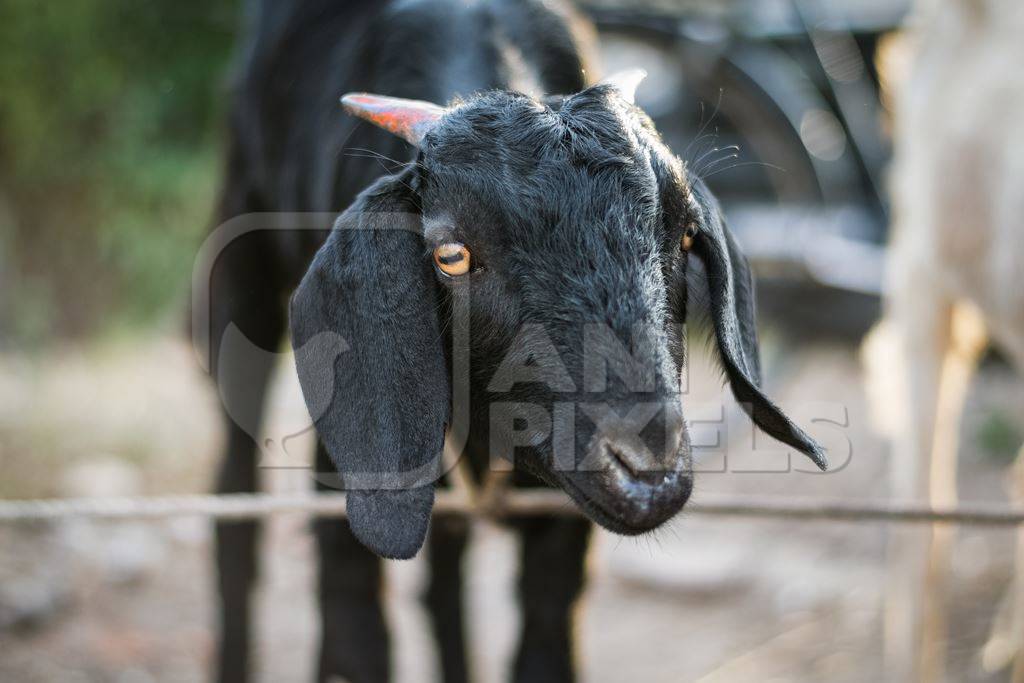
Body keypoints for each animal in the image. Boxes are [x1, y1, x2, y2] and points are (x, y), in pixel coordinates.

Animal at [207, 1, 823, 683]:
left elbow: (543, 647)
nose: (647, 473)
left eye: (686, 234)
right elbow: (357, 637)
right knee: (234, 503)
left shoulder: (559, 524)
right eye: (451, 255)